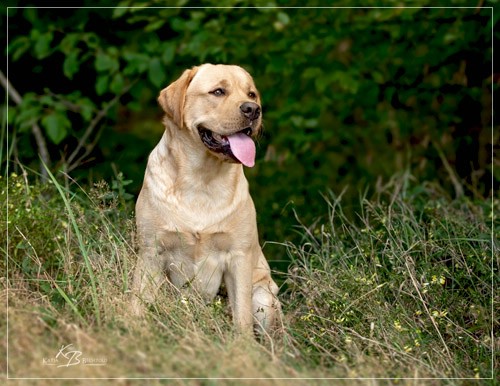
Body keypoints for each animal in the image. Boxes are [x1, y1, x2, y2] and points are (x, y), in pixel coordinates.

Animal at [132, 63, 282, 334]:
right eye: (218, 91)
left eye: (251, 94)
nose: (253, 109)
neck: (201, 180)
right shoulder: (151, 251)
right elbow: (138, 302)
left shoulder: (238, 256)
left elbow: (242, 318)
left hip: (263, 296)